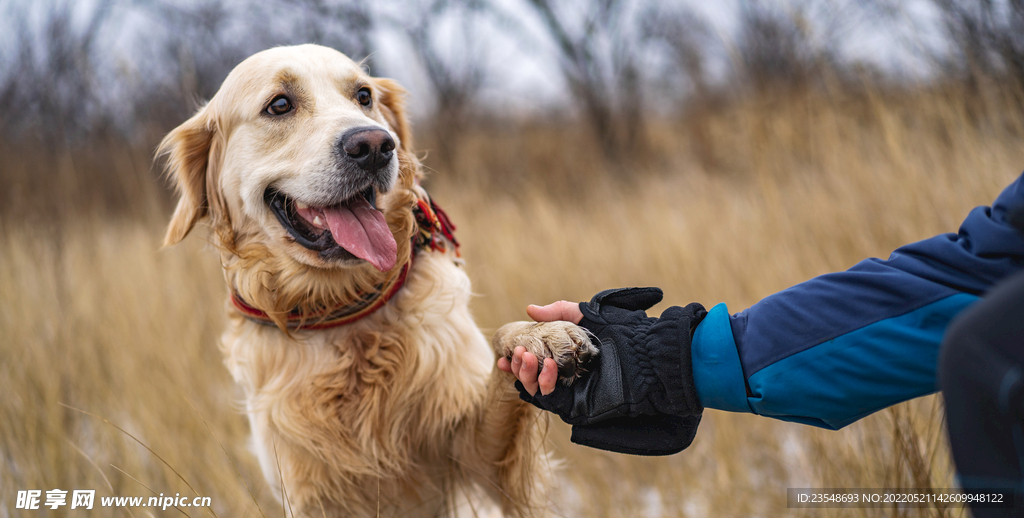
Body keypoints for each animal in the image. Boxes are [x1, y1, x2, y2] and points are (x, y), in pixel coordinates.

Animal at [155, 45, 598, 518]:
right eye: (279, 105)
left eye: (363, 96)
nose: (373, 145)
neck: (343, 311)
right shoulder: (305, 489)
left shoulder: (482, 465)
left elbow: (502, 344)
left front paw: (540, 336)